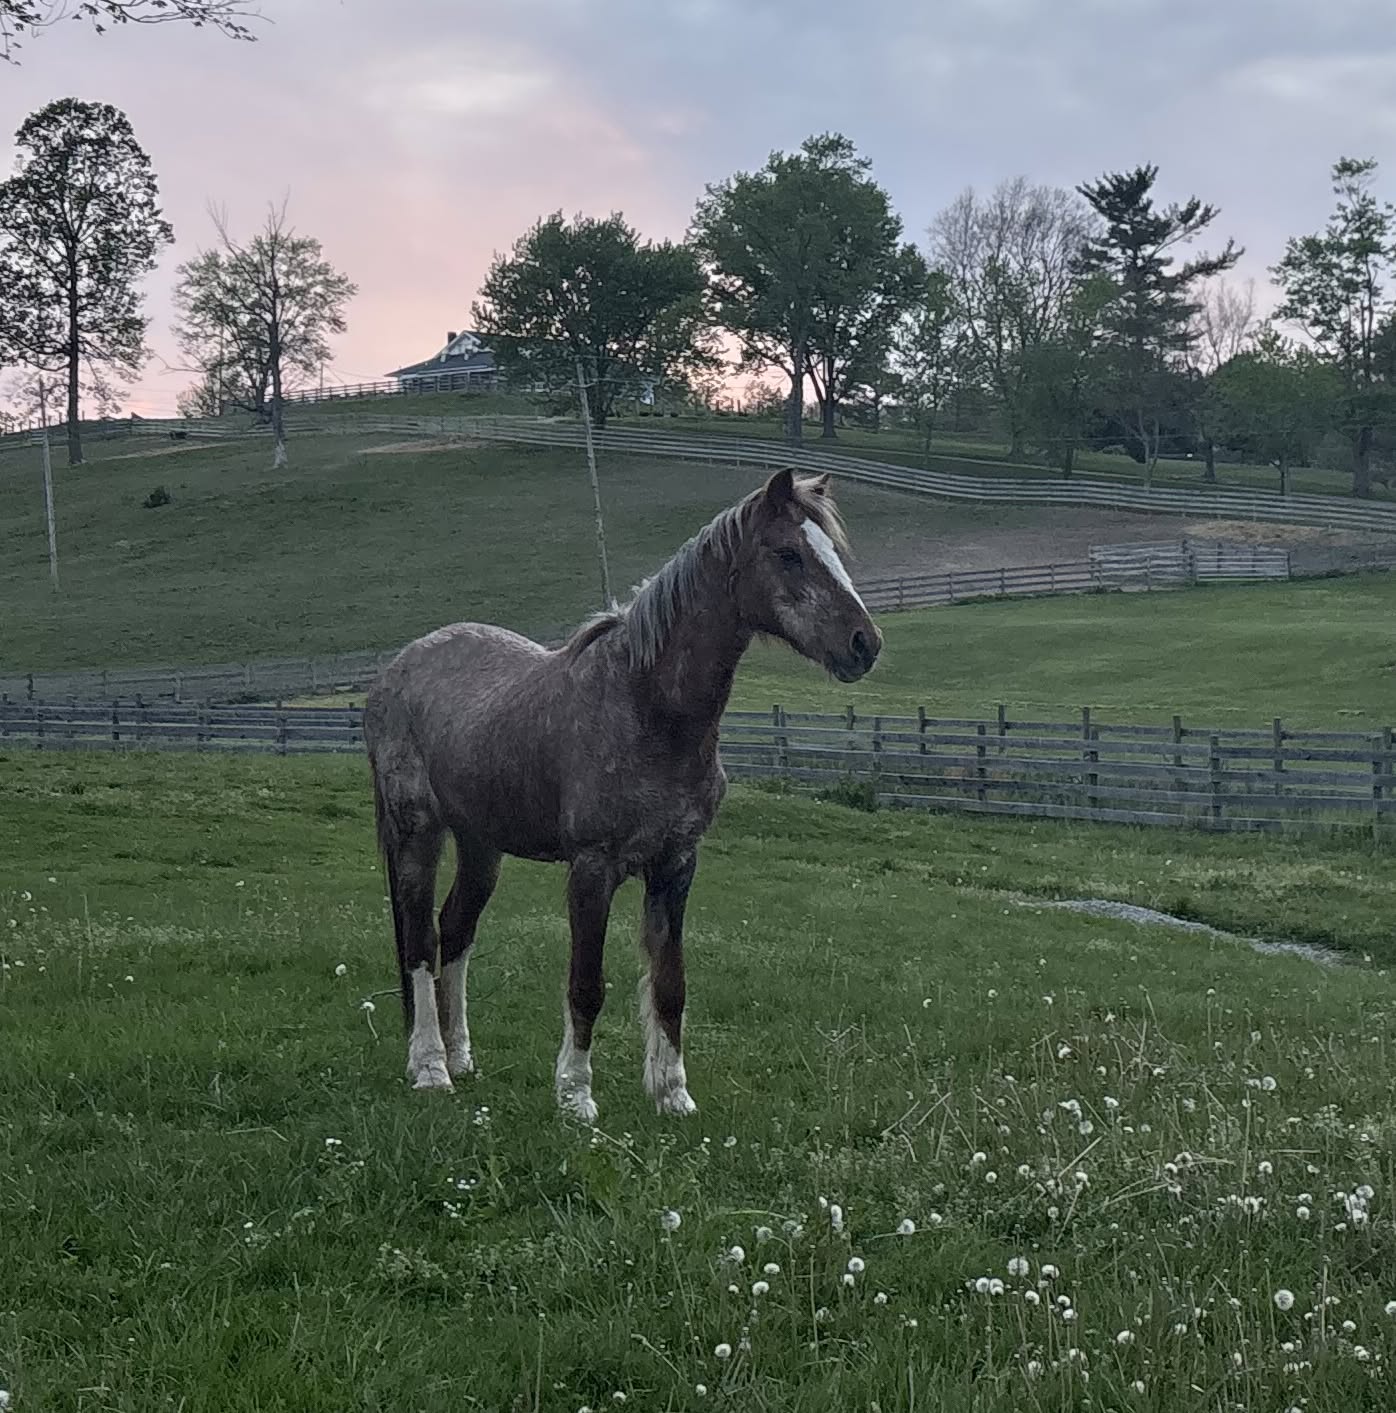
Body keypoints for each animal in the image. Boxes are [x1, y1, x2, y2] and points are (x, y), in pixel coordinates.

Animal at [363, 467, 881, 1122]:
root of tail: (396, 670)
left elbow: (670, 984)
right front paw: (575, 1096)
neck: (646, 707)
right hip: (417, 833)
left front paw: (672, 1094)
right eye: (789, 554)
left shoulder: (676, 866)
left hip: (482, 845)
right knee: (420, 941)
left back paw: (460, 1058)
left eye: (832, 550)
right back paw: (430, 1068)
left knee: (454, 932)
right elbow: (586, 983)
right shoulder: (593, 868)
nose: (865, 643)